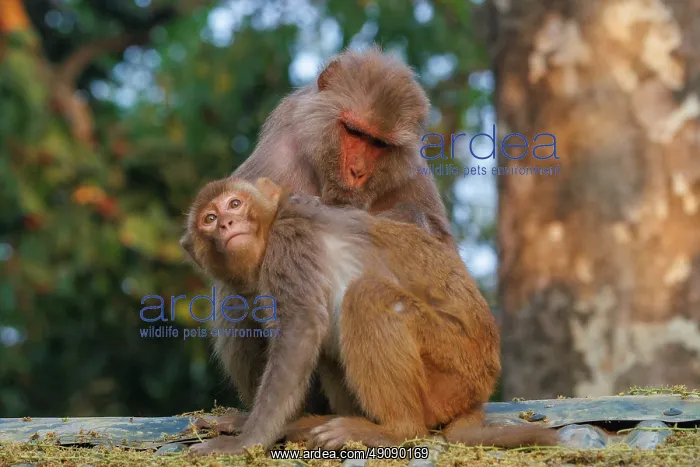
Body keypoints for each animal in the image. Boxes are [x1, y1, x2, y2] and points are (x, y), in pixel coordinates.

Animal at [180, 177, 558, 456]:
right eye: (209, 219)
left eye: (235, 204)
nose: (227, 224)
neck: (273, 224)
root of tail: (476, 396)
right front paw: (243, 423)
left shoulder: (289, 245)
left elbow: (301, 330)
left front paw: (246, 440)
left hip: (452, 370)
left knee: (366, 297)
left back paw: (395, 431)